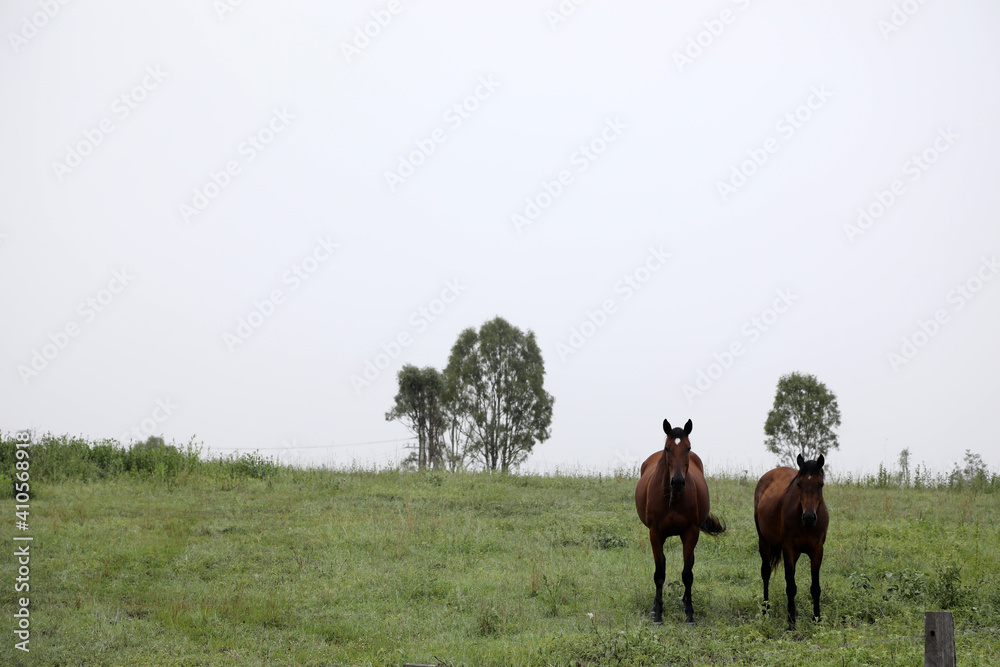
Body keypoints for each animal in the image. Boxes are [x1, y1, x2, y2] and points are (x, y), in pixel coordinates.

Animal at [635, 418, 726, 623]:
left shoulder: (691, 532)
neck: (673, 499)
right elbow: (659, 573)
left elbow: (687, 573)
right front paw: (658, 614)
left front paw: (689, 613)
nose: (677, 482)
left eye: (688, 448)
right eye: (667, 448)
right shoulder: (655, 534)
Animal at [753, 454, 829, 631]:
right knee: (766, 573)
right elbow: (791, 587)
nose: (809, 518)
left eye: (821, 484)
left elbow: (815, 587)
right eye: (799, 484)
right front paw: (791, 624)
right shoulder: (788, 549)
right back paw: (765, 610)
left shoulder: (817, 550)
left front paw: (817, 619)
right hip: (764, 542)